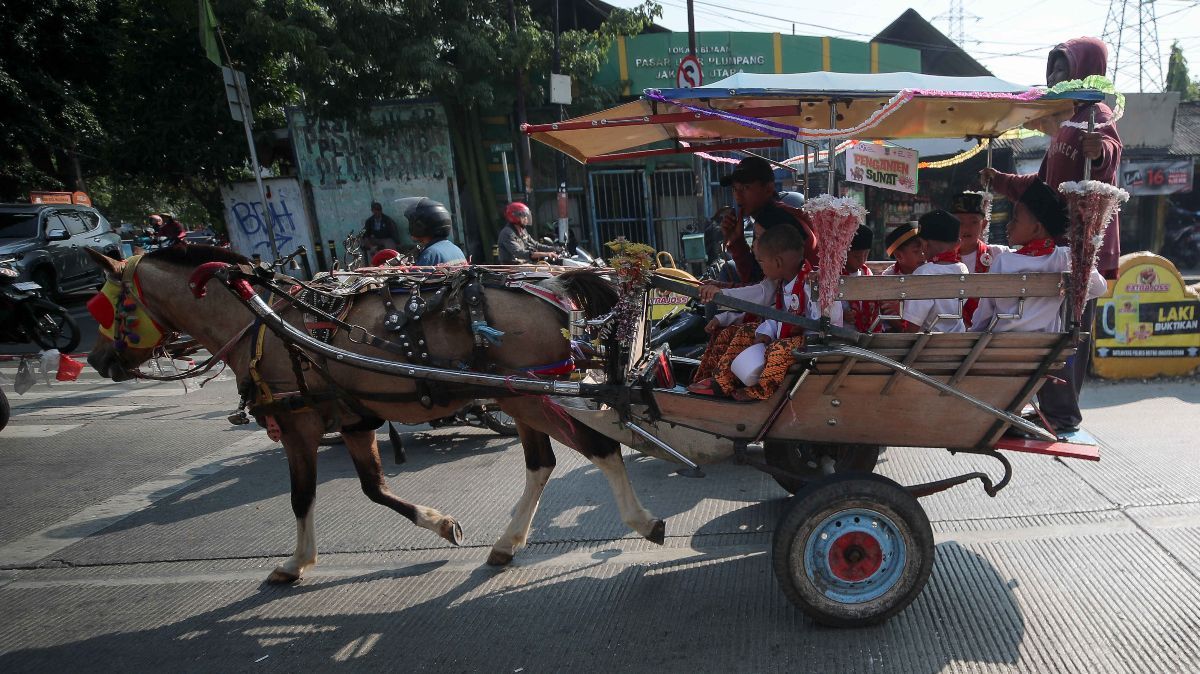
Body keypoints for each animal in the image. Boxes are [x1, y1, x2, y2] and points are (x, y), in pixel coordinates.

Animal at [84, 243, 667, 580]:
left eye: (111, 304)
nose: (96, 359)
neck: (262, 322)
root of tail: (552, 282)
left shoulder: (297, 423)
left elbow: (301, 496)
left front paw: (295, 562)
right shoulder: (354, 420)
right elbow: (374, 488)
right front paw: (442, 524)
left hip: (525, 397)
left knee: (599, 448)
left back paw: (644, 521)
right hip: (518, 397)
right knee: (541, 463)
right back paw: (506, 544)